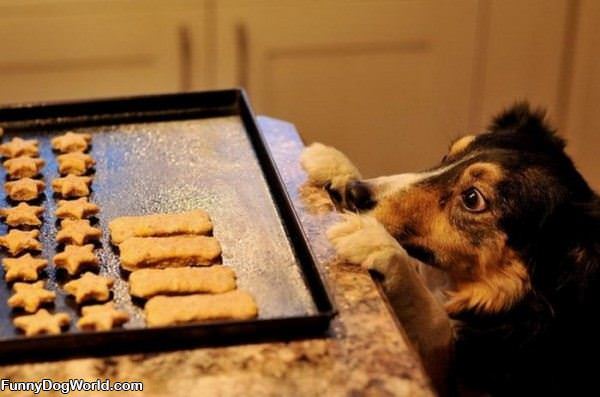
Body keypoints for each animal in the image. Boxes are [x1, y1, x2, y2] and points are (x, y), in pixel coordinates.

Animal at [300, 103, 600, 394]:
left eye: (472, 198)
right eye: (447, 156)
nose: (354, 192)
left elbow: (437, 323)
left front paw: (380, 244)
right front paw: (336, 166)